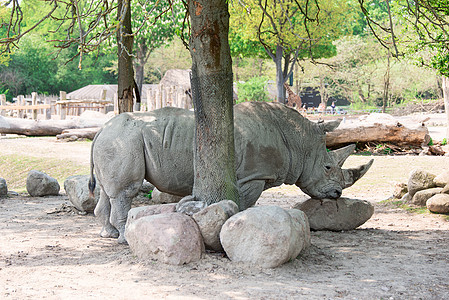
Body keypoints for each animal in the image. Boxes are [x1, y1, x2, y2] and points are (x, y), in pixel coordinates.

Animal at [89, 102, 372, 243]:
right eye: (327, 167)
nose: (337, 194)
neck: (298, 141)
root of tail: (101, 129)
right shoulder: (253, 176)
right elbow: (245, 203)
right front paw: (235, 225)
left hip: (115, 141)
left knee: (105, 191)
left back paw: (108, 235)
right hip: (124, 140)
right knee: (125, 192)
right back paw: (124, 239)